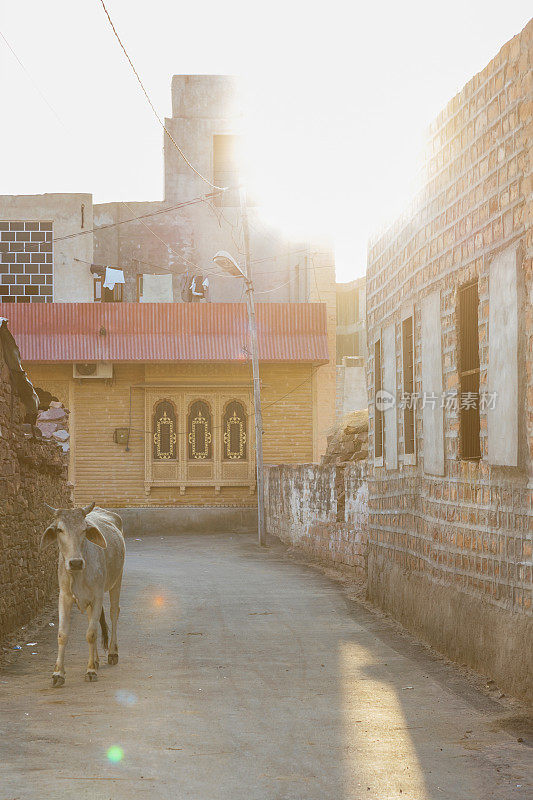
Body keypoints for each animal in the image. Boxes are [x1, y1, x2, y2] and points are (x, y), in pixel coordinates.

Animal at [40, 506, 125, 688]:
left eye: (84, 529)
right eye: (59, 529)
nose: (75, 562)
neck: (78, 575)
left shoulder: (97, 597)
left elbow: (91, 634)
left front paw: (91, 671)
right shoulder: (64, 597)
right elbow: (62, 634)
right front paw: (58, 673)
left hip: (117, 579)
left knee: (114, 612)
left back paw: (112, 653)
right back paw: (97, 659)